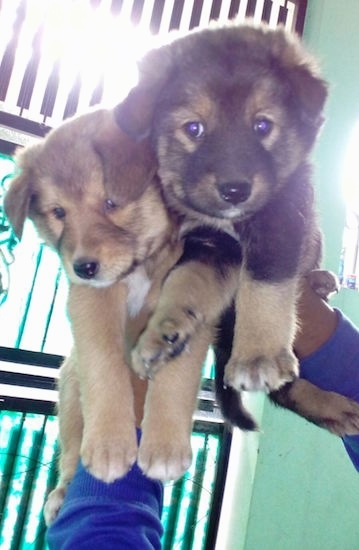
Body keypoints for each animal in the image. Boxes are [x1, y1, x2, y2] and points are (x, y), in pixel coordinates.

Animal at [4, 109, 211, 528]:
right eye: (59, 212)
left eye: (112, 202)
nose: (83, 267)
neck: (142, 265)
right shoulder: (91, 300)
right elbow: (104, 363)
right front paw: (110, 445)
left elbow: (178, 372)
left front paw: (166, 445)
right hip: (69, 387)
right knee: (69, 452)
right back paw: (62, 492)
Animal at [115, 22, 359, 436]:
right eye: (193, 129)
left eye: (262, 125)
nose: (234, 190)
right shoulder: (209, 244)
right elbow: (185, 283)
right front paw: (163, 330)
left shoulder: (280, 216)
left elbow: (263, 285)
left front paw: (258, 354)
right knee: (285, 391)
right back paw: (334, 408)